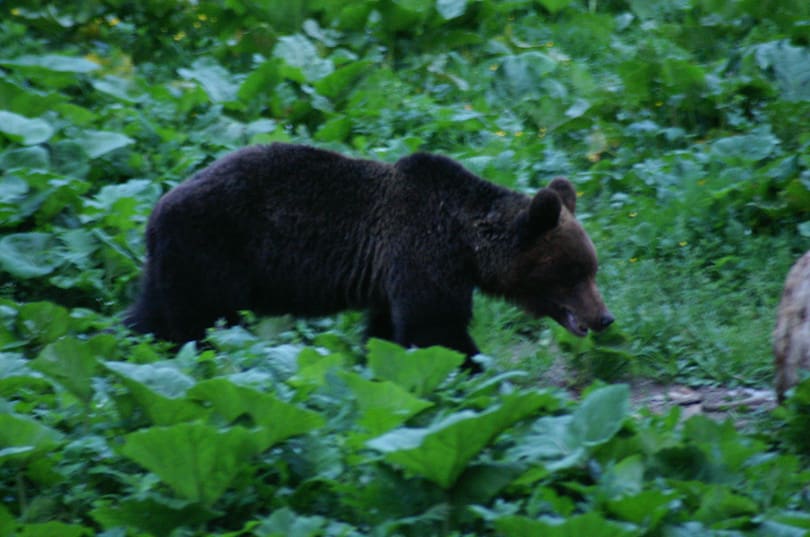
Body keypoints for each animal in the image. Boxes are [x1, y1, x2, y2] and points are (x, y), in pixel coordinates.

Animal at [123, 142, 608, 368]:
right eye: (573, 272)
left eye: (591, 268)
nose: (605, 317)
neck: (466, 244)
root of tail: (155, 211)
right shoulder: (422, 254)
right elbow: (435, 331)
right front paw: (476, 372)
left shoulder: (391, 278)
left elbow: (387, 333)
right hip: (211, 255)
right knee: (196, 326)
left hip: (173, 264)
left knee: (148, 317)